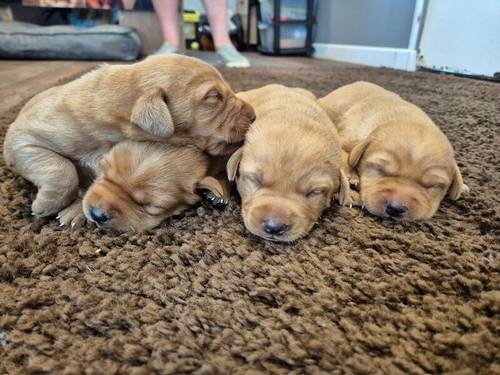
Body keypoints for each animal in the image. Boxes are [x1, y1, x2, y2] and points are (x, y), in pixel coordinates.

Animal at [320, 81, 468, 219]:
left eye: (434, 185)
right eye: (379, 168)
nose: (396, 208)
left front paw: (462, 186)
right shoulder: (345, 138)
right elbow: (345, 155)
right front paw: (351, 178)